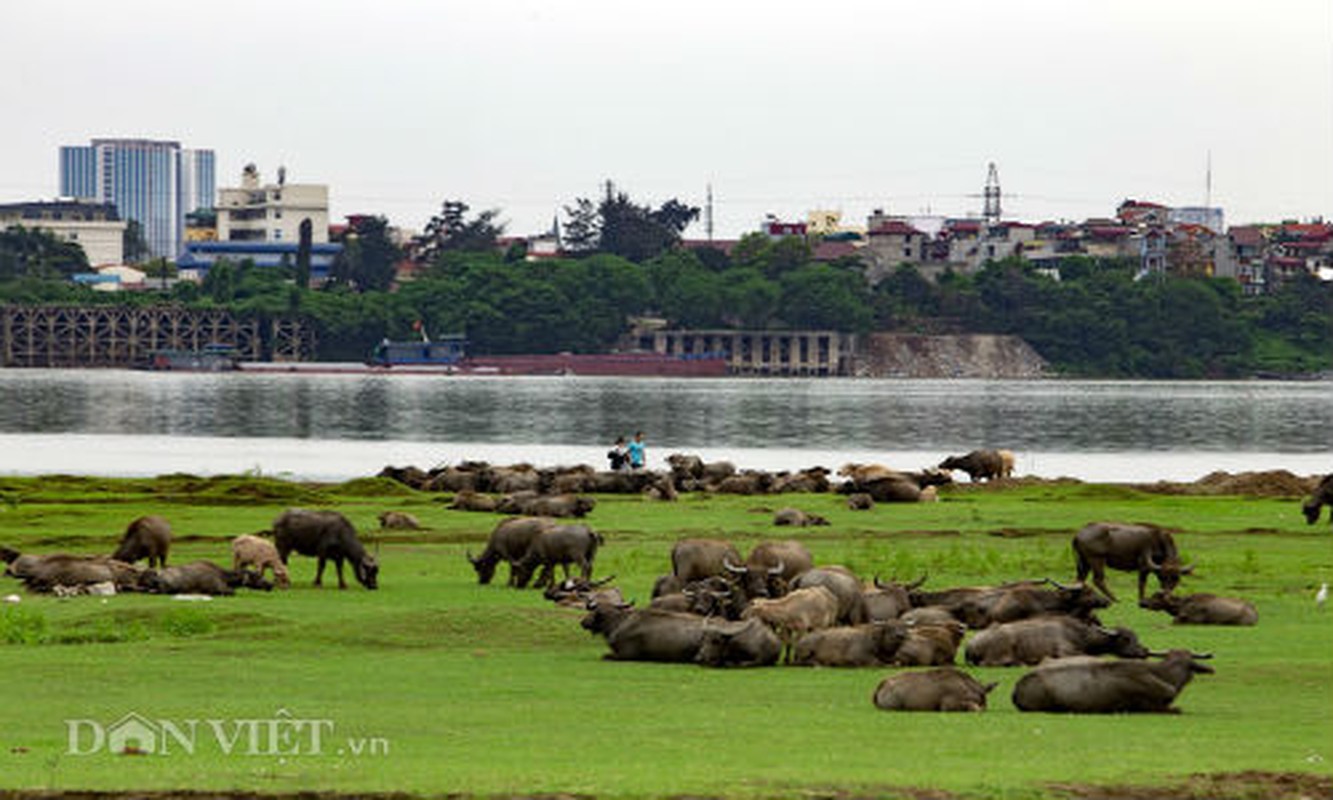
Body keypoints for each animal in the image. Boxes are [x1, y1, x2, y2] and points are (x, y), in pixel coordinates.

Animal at [965, 613, 1151, 669]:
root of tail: (971, 644)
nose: (1144, 651)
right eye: (1126, 638)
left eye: (1136, 637)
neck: (1079, 635)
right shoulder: (1065, 652)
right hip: (1000, 653)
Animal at [1066, 522, 1194, 602]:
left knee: (1080, 579)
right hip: (1097, 560)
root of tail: (1078, 534)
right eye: (1163, 577)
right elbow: (1142, 584)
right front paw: (1141, 600)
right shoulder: (1143, 566)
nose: (1166, 595)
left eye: (1176, 578)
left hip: (1083, 562)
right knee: (1098, 580)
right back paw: (1115, 599)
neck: (1158, 540)